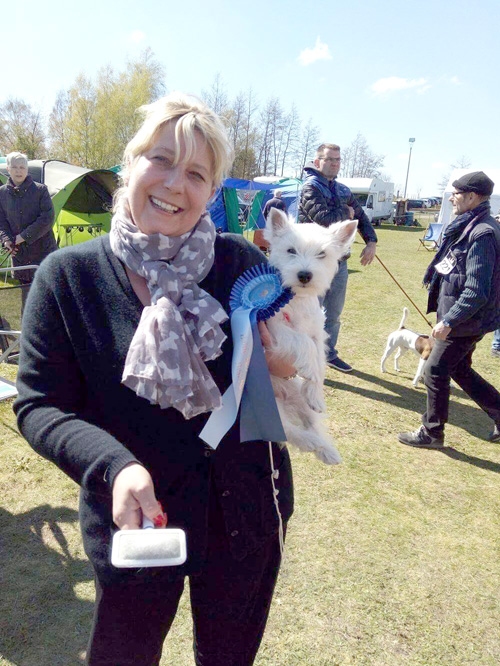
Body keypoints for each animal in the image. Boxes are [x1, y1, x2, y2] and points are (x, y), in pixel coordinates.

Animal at [264, 208, 358, 462]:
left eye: (322, 254)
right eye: (290, 250)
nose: (305, 275)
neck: (296, 298)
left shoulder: (318, 332)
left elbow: (319, 359)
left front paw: (316, 392)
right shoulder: (272, 328)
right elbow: (302, 341)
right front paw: (308, 368)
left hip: (296, 396)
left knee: (311, 420)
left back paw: (326, 450)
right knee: (287, 430)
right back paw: (310, 442)